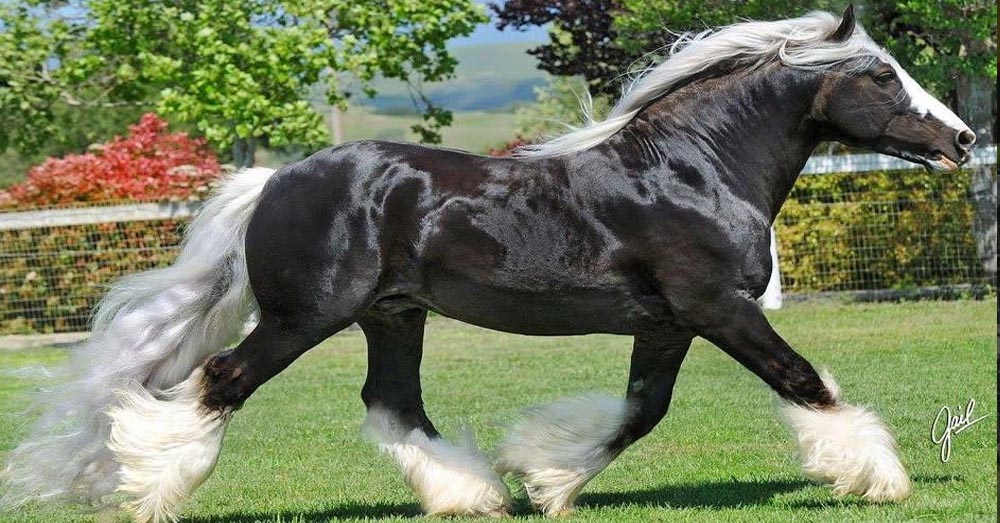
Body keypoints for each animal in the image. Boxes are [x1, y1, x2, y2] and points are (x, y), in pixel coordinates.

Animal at [1, 7, 976, 523]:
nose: (963, 139)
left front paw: (547, 477)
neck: (691, 170)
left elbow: (640, 411)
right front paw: (880, 476)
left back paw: (474, 491)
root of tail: (275, 178)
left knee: (391, 403)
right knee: (217, 381)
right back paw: (148, 486)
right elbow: (805, 382)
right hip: (302, 317)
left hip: (393, 313)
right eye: (881, 77)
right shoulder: (719, 308)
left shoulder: (668, 323)